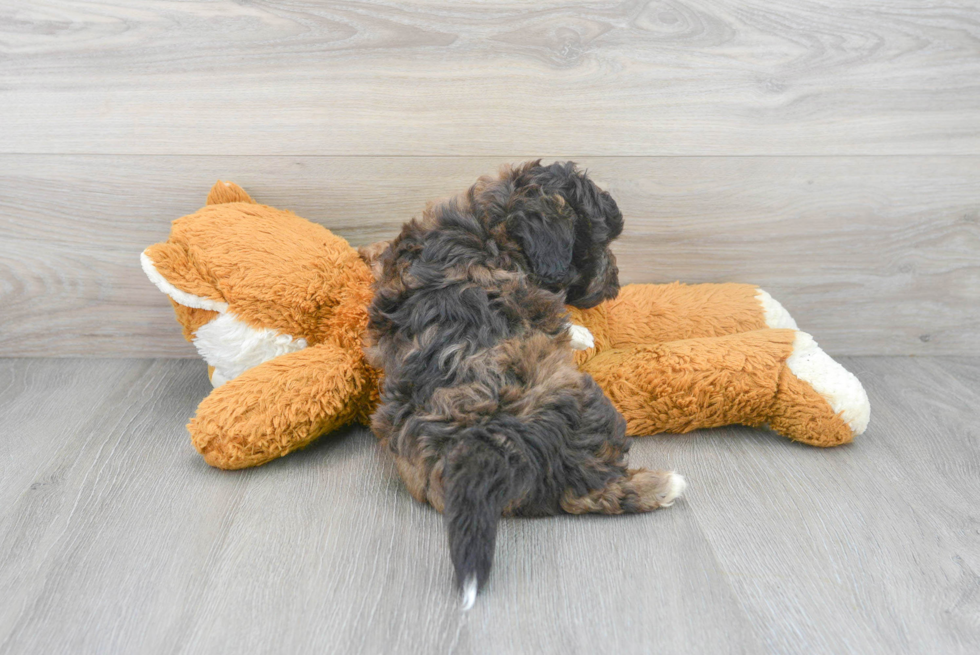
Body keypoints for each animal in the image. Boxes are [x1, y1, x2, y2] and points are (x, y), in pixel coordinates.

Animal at [364, 160, 684, 608]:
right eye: (601, 244)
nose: (616, 286)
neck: (488, 222)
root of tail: (486, 442)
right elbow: (562, 323)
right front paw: (582, 335)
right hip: (587, 405)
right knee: (592, 489)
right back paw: (665, 485)